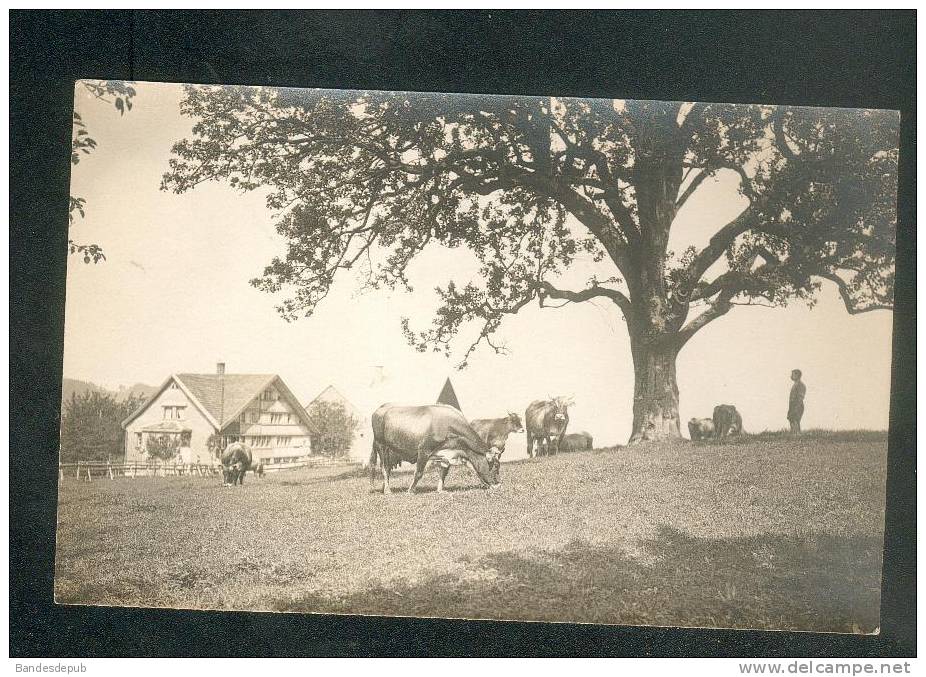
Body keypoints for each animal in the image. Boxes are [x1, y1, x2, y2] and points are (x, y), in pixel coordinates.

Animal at [368, 404, 500, 494]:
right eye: (493, 465)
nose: (498, 484)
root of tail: (382, 407)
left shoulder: (449, 455)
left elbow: (443, 473)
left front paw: (440, 490)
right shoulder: (424, 450)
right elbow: (418, 473)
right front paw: (410, 490)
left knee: (385, 469)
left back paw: (383, 488)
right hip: (381, 445)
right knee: (384, 468)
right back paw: (387, 490)